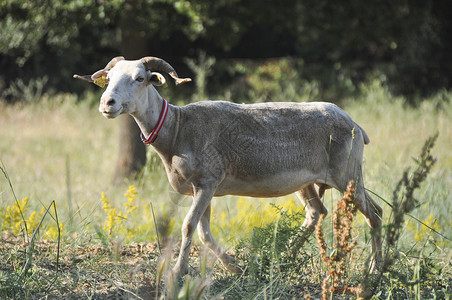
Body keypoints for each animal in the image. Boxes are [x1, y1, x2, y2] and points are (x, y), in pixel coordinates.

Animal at [73, 55, 382, 276]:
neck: (177, 129)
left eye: (139, 78)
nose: (107, 103)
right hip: (306, 182)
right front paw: (234, 267)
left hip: (348, 174)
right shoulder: (202, 188)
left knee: (375, 214)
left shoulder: (207, 181)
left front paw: (178, 271)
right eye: (109, 78)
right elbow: (203, 232)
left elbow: (188, 226)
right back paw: (282, 260)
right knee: (317, 213)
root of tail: (356, 125)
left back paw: (375, 270)